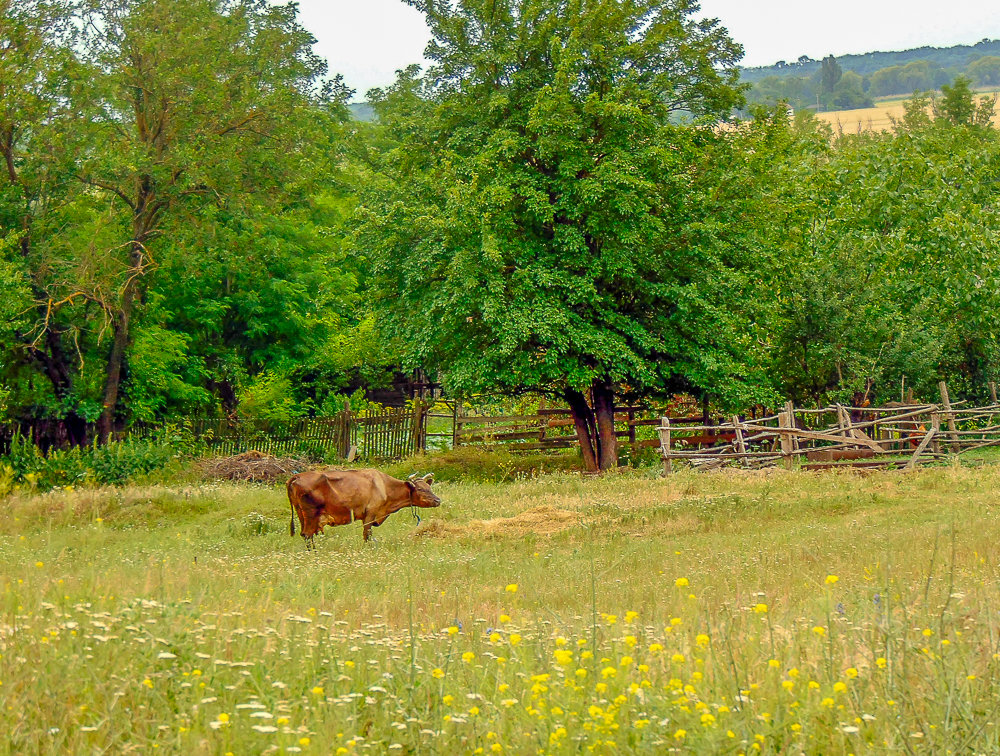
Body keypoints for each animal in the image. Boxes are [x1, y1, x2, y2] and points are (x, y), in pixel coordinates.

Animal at [288, 470, 440, 548]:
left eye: (429, 487)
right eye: (420, 489)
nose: (438, 500)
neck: (385, 486)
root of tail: (296, 475)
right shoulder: (370, 514)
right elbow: (367, 535)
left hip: (301, 514)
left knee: (305, 535)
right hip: (311, 514)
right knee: (307, 535)